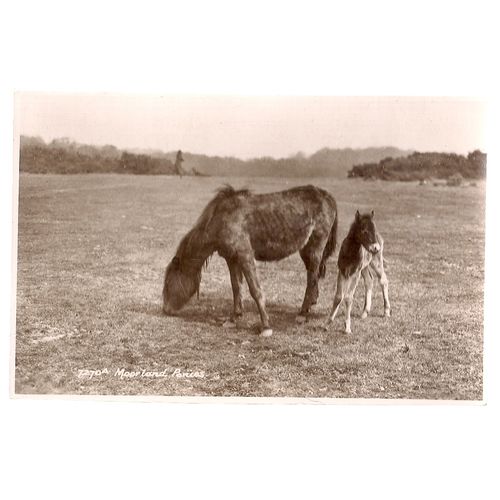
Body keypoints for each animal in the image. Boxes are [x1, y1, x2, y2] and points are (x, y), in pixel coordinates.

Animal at [162, 184, 338, 336]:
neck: (222, 219)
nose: (165, 310)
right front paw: (234, 318)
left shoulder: (245, 255)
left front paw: (265, 326)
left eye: (168, 282)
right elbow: (236, 288)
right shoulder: (232, 259)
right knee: (313, 276)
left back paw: (302, 314)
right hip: (305, 250)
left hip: (315, 247)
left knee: (312, 278)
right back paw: (310, 305)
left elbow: (255, 291)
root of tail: (327, 196)